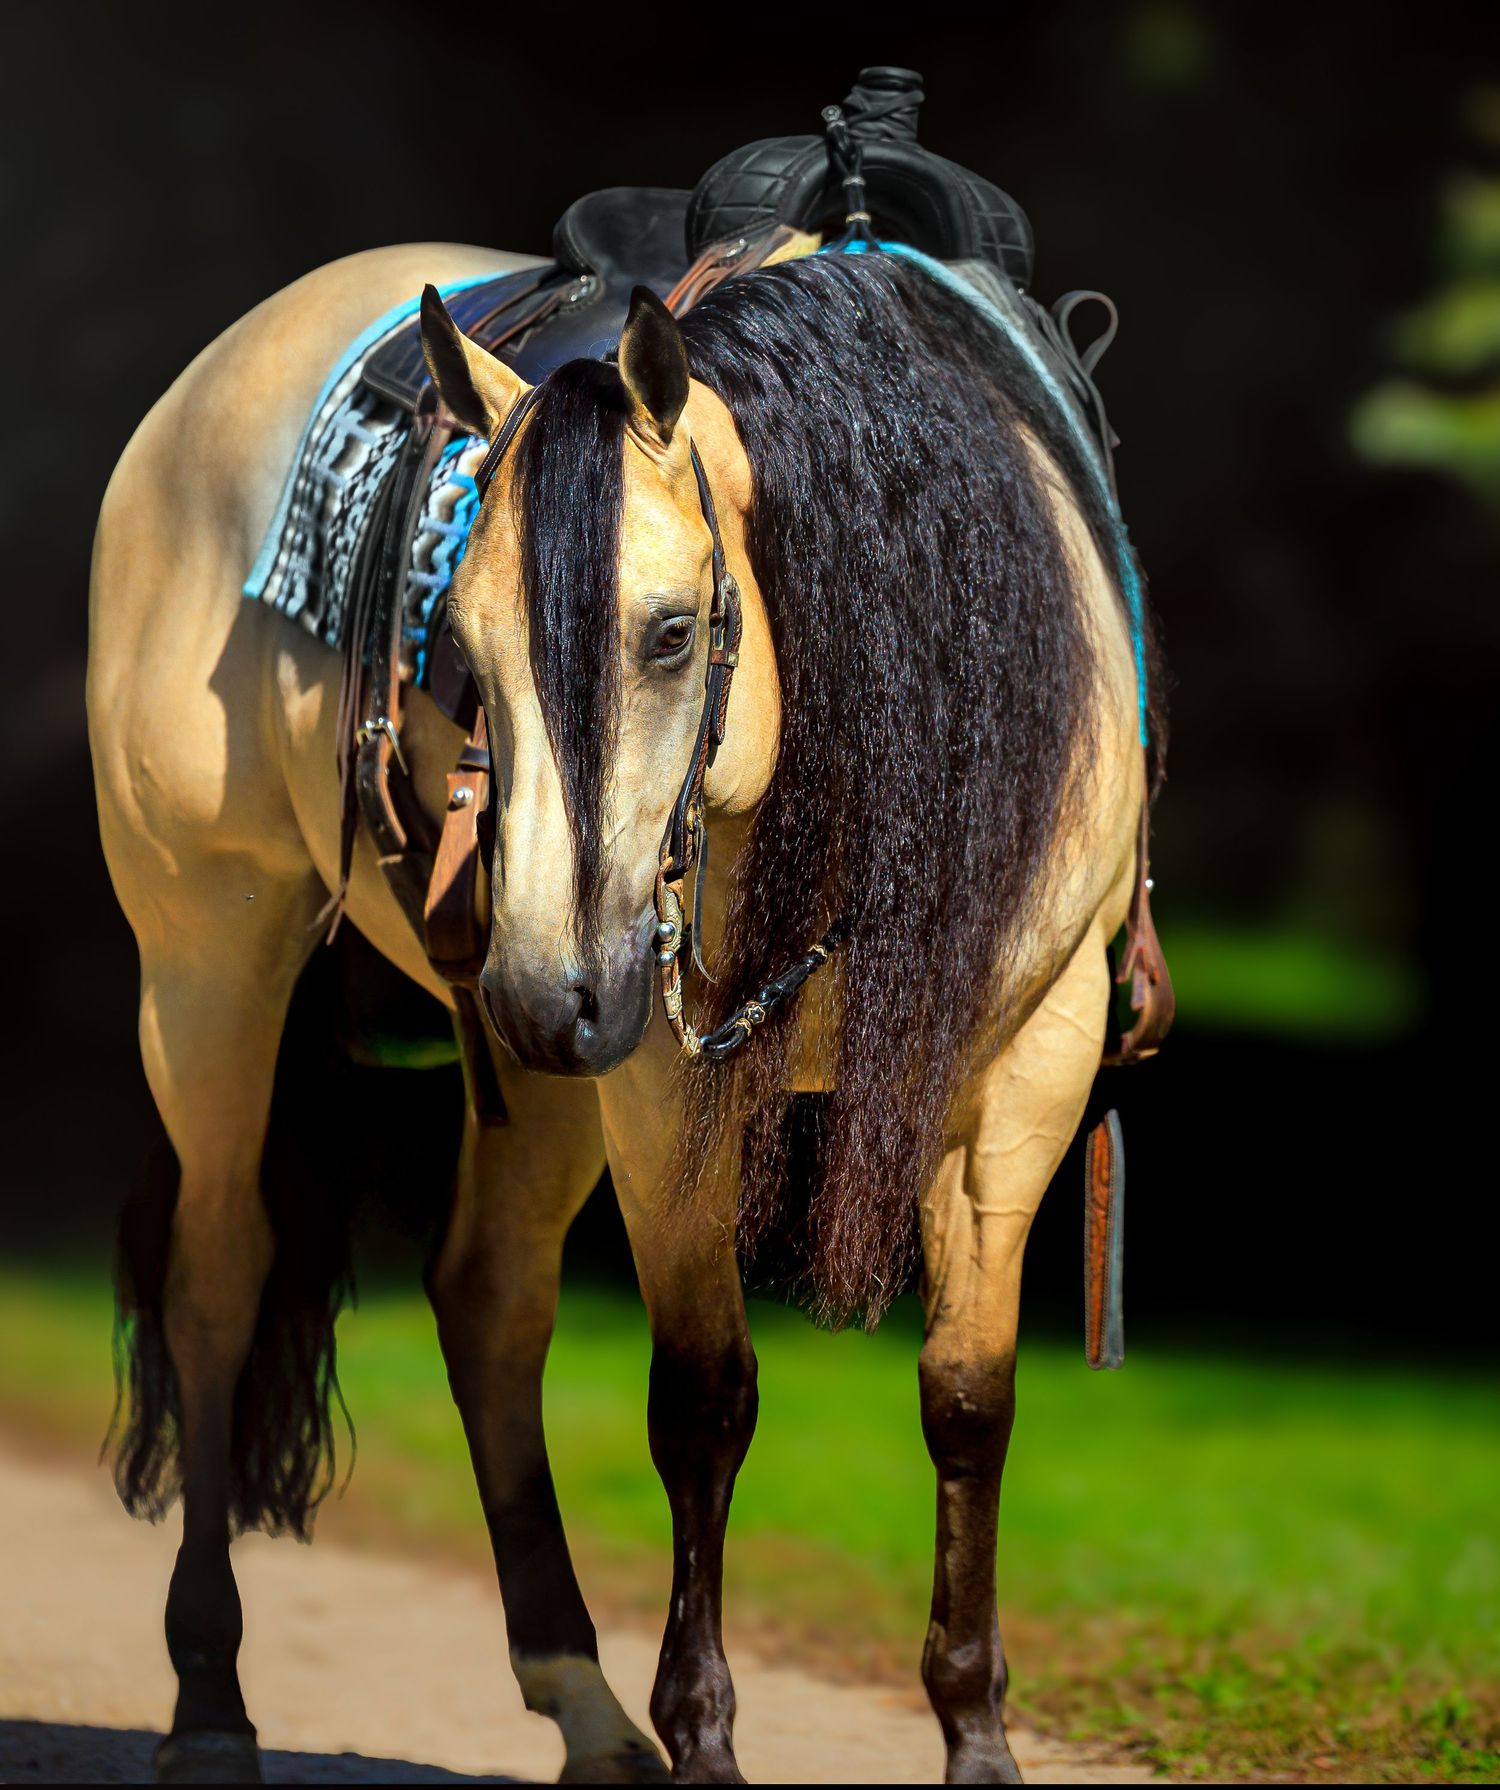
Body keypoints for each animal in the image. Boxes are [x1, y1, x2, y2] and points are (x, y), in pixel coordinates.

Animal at [88, 237, 1163, 1785]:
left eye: (669, 633)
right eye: (462, 652)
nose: (547, 989)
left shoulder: (1031, 1062)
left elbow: (968, 1397)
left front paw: (975, 1735)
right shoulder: (659, 1081)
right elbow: (704, 1399)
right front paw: (704, 1734)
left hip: (534, 1070)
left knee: (487, 1301)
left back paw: (581, 1701)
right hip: (214, 958)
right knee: (216, 1279)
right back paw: (212, 1701)